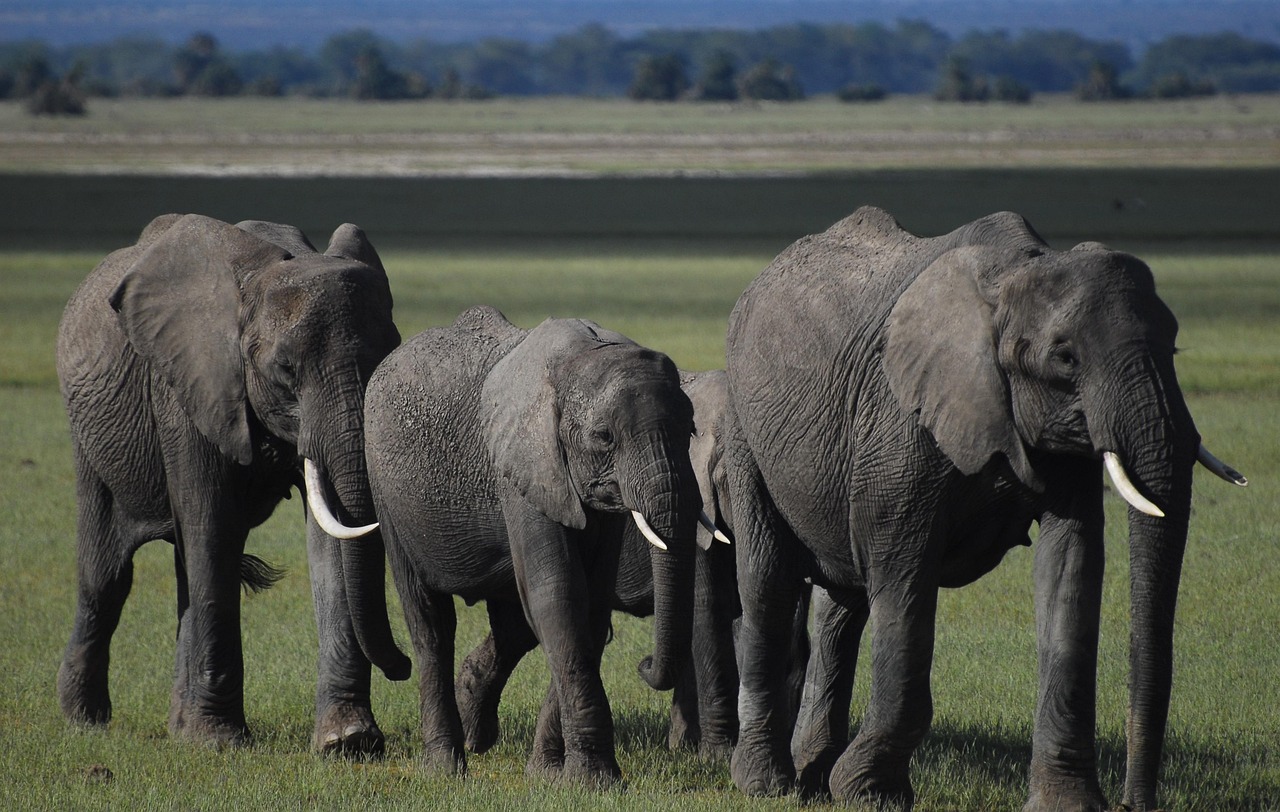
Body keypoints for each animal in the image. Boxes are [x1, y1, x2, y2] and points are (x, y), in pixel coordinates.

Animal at [57, 213, 409, 753]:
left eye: (388, 357)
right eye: (286, 369)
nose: (405, 666)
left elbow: (329, 541)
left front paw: (346, 742)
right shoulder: (188, 389)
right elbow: (213, 528)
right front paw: (217, 742)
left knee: (185, 570)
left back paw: (176, 727)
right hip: (89, 435)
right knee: (107, 576)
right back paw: (85, 720)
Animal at [358, 304, 701, 783]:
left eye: (692, 430)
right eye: (604, 437)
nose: (645, 664)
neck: (583, 356)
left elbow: (590, 609)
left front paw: (547, 775)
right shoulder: (524, 467)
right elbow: (558, 595)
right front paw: (594, 781)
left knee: (513, 626)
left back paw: (475, 735)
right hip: (386, 490)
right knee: (430, 623)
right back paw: (446, 767)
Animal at [721, 204, 1249, 804]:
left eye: (1176, 345)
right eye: (1064, 357)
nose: (1134, 805)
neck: (1015, 275)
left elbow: (1071, 568)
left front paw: (1067, 805)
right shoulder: (901, 421)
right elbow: (904, 581)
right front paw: (873, 795)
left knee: (842, 605)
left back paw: (812, 779)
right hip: (746, 431)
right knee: (768, 582)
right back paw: (767, 784)